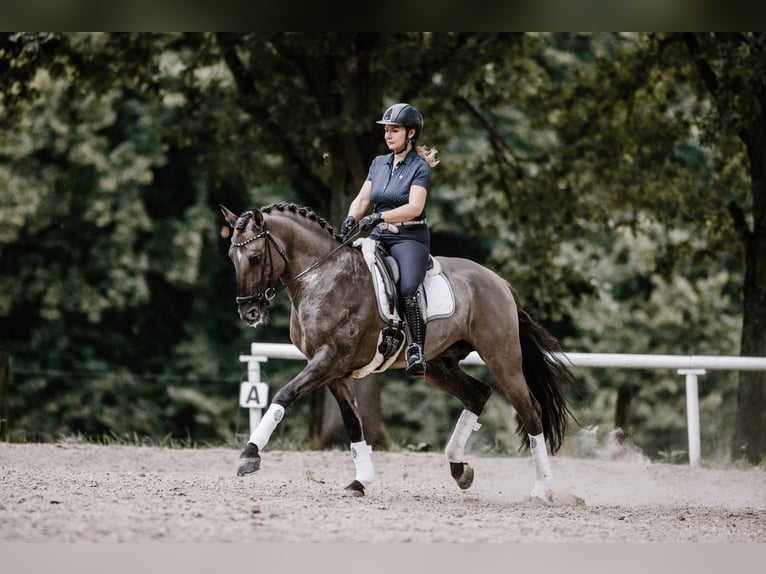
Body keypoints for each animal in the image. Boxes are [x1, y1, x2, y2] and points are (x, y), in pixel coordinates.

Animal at [222, 202, 584, 504]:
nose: (249, 312)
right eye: (231, 257)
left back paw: (540, 490)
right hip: (439, 365)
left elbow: (284, 395)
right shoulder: (333, 370)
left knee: (530, 410)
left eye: (255, 257)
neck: (322, 277)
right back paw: (460, 470)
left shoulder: (329, 359)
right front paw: (361, 481)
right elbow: (353, 422)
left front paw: (249, 456)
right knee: (478, 394)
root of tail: (499, 282)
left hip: (502, 358)